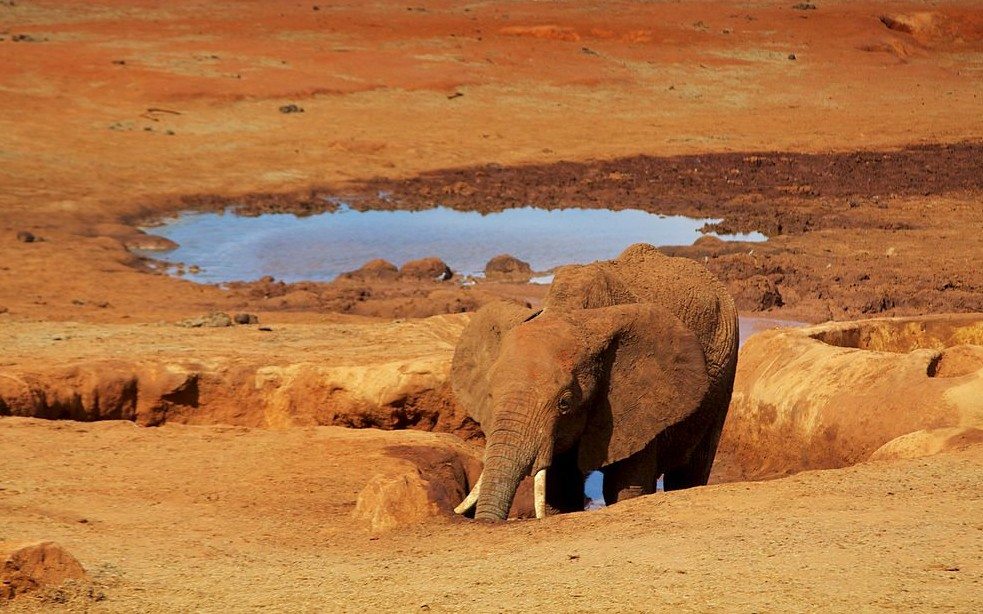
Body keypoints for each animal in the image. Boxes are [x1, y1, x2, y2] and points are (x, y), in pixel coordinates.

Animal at [450, 243, 739, 521]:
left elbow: (625, 488)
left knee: (691, 469)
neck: (572, 312)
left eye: (565, 403)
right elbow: (560, 489)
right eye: (489, 396)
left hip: (725, 371)